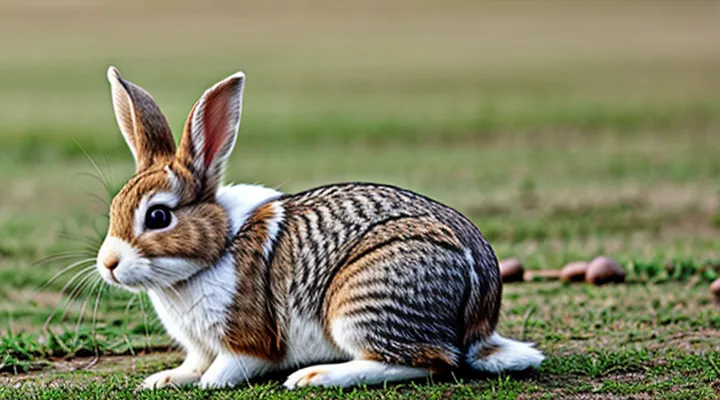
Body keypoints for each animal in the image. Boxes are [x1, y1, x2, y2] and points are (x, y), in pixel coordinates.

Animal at [95, 66, 544, 390]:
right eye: (114, 208)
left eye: (158, 216)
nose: (109, 264)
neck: (216, 249)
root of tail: (481, 315)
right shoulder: (199, 347)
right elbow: (193, 365)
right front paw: (163, 379)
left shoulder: (249, 342)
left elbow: (227, 368)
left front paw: (209, 382)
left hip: (360, 301)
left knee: (430, 361)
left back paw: (317, 376)